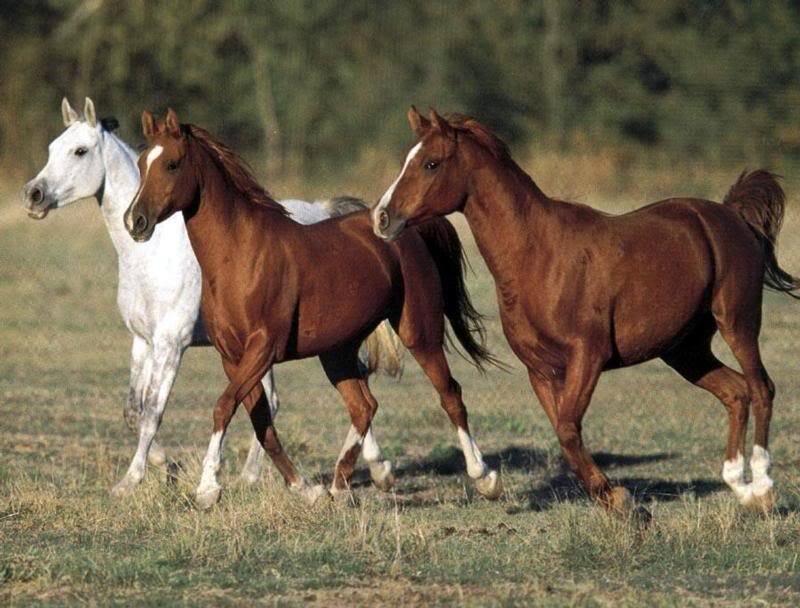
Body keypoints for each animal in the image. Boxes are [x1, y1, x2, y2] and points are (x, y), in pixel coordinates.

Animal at [22, 97, 402, 502]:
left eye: (80, 151)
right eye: (52, 148)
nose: (33, 195)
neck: (151, 256)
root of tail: (329, 211)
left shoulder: (172, 343)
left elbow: (153, 411)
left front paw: (132, 479)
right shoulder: (143, 341)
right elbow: (134, 410)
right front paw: (164, 466)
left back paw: (370, 471)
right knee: (291, 399)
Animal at [122, 108, 503, 508]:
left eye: (172, 164)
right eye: (141, 163)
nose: (135, 221)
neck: (240, 257)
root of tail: (408, 230)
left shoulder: (262, 348)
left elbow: (224, 407)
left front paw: (208, 488)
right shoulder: (233, 357)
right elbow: (262, 424)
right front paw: (306, 489)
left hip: (420, 333)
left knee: (450, 394)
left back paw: (484, 478)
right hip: (337, 352)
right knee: (365, 405)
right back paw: (341, 484)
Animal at [373, 107, 799, 515]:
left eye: (431, 163)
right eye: (407, 159)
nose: (382, 218)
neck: (538, 256)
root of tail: (732, 215)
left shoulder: (587, 356)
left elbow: (567, 429)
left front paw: (618, 499)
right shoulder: (541, 371)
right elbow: (565, 434)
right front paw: (612, 497)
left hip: (738, 322)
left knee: (761, 388)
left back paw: (762, 487)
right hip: (685, 350)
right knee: (736, 392)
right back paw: (740, 487)